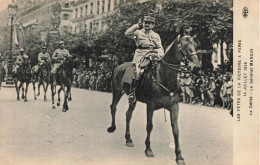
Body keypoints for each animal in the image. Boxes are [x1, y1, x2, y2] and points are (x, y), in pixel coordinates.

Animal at [107, 35, 201, 165]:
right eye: (184, 45)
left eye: (196, 45)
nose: (196, 66)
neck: (164, 77)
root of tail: (118, 67)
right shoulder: (150, 105)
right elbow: (149, 126)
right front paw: (148, 149)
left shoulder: (174, 107)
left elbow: (176, 129)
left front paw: (179, 156)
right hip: (117, 92)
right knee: (113, 107)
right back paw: (112, 127)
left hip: (133, 99)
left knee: (128, 115)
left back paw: (128, 139)